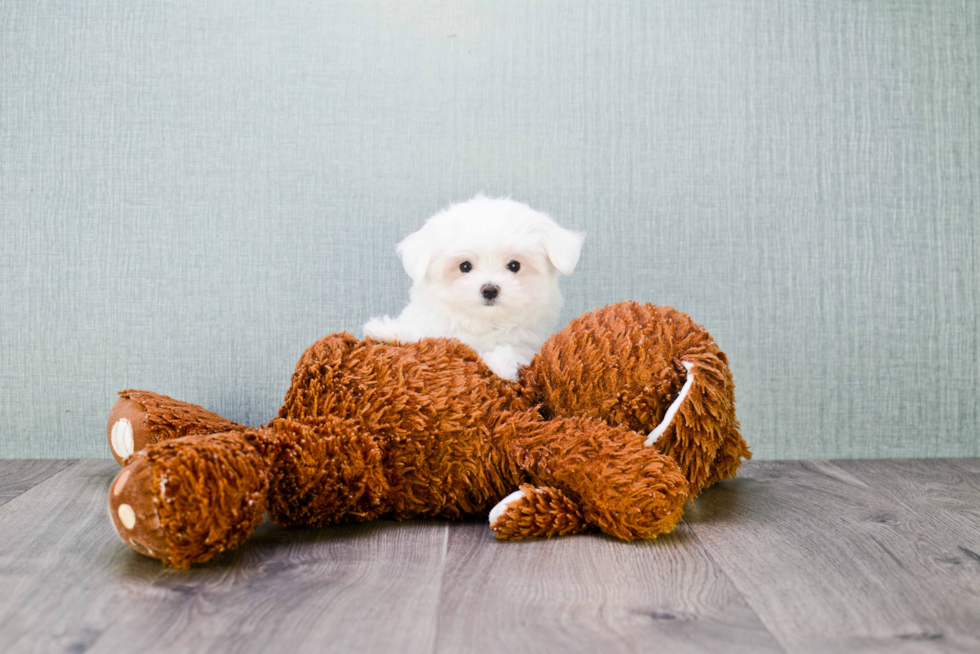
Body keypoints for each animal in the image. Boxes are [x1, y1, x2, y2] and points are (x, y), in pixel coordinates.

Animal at [366, 195, 580, 382]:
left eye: (514, 266)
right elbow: (422, 333)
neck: (482, 322)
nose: (490, 289)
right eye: (465, 266)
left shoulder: (530, 342)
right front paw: (388, 331)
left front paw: (501, 365)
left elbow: (516, 350)